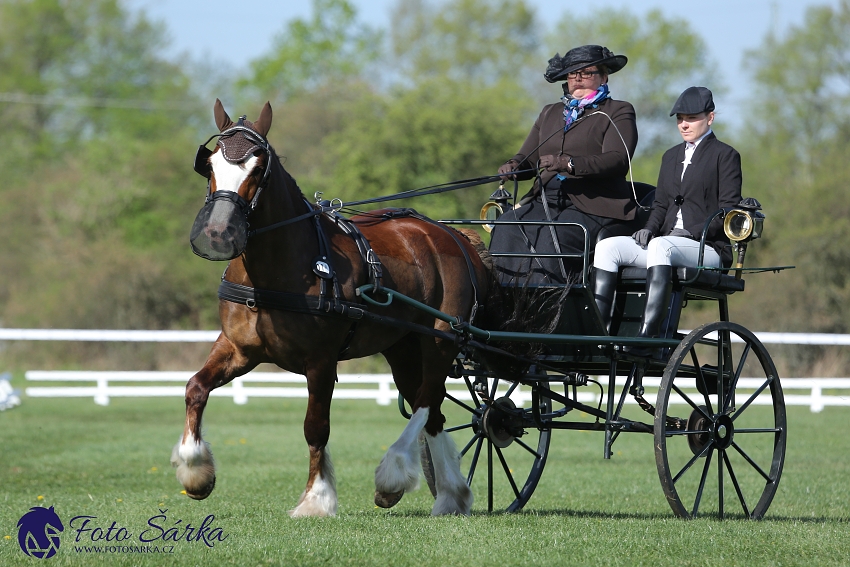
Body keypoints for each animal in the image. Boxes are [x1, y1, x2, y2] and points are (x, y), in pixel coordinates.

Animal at [170, 100, 486, 516]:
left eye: (257, 168)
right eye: (209, 166)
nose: (218, 234)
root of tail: (449, 233)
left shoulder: (320, 361)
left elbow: (315, 426)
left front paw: (316, 499)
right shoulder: (239, 349)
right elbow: (195, 387)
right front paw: (196, 472)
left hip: (440, 339)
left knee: (424, 401)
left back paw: (395, 475)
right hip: (402, 346)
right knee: (432, 410)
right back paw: (450, 494)